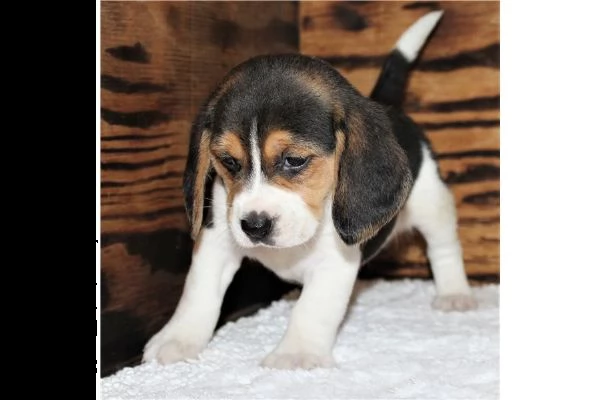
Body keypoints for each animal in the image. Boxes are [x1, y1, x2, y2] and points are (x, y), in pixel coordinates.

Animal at [143, 10, 476, 370]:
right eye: (229, 162)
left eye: (295, 160)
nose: (254, 225)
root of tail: (388, 108)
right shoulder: (217, 240)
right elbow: (198, 293)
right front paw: (178, 340)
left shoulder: (335, 260)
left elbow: (312, 309)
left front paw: (295, 354)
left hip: (433, 203)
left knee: (444, 248)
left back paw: (455, 294)